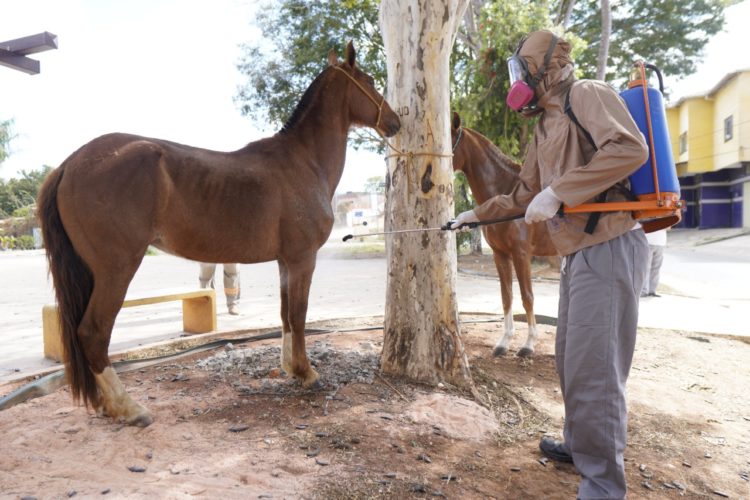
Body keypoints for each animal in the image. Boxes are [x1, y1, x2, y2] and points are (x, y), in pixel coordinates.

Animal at [36, 42, 400, 426]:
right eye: (369, 80)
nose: (395, 121)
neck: (303, 161)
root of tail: (69, 164)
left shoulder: (285, 261)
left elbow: (285, 314)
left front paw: (291, 368)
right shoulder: (303, 259)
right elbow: (299, 315)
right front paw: (306, 373)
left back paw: (108, 405)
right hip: (116, 269)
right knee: (93, 332)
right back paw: (128, 407)